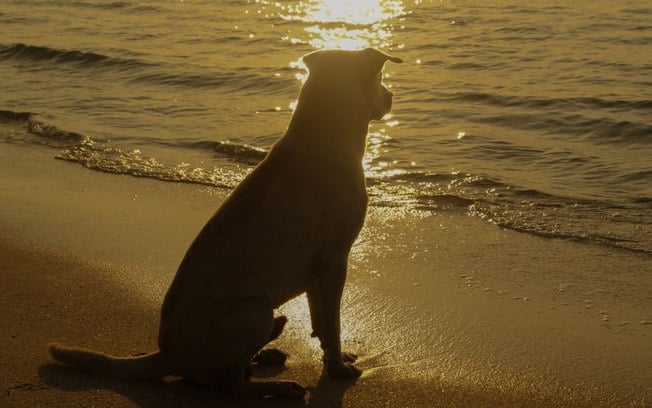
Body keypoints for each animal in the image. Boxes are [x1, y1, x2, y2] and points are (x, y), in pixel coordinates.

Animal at [48, 47, 400, 398]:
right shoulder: (334, 260)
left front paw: (333, 357)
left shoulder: (318, 271)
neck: (323, 134)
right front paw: (338, 369)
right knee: (227, 383)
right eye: (380, 78)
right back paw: (278, 386)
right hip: (254, 310)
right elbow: (333, 323)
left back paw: (267, 354)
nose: (392, 96)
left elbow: (321, 322)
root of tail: (168, 353)